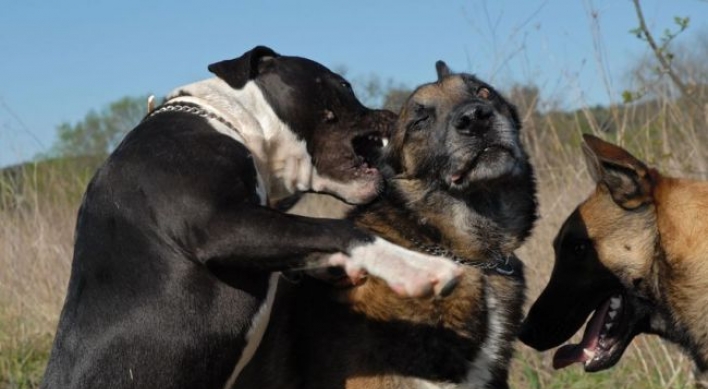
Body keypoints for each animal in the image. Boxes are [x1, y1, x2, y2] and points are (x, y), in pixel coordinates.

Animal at [40, 46, 460, 388]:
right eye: (344, 85)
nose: (393, 114)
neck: (233, 122)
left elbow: (309, 239)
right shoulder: (218, 226)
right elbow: (338, 229)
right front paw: (418, 268)